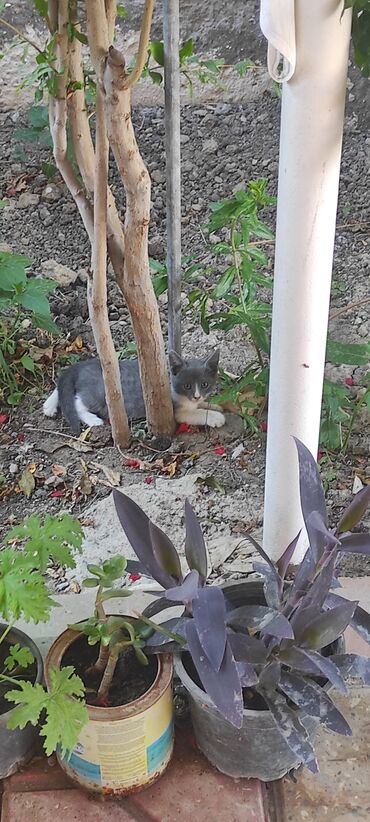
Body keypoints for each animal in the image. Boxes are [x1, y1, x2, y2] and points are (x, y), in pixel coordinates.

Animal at [42, 350, 224, 438]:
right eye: (187, 386)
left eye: (204, 384)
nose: (196, 395)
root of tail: (83, 365)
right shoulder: (174, 410)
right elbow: (195, 413)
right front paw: (215, 417)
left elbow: (202, 405)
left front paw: (216, 406)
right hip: (98, 392)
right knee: (78, 402)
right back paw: (93, 420)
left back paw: (48, 407)